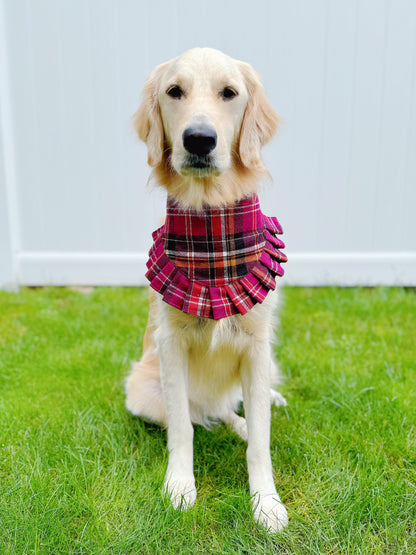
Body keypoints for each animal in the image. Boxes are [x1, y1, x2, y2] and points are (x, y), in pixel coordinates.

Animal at [125, 48, 290, 536]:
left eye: (229, 93)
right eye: (174, 91)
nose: (199, 139)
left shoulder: (257, 345)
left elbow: (260, 442)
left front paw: (266, 503)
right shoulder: (170, 344)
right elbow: (183, 428)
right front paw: (180, 487)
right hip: (141, 392)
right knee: (209, 413)